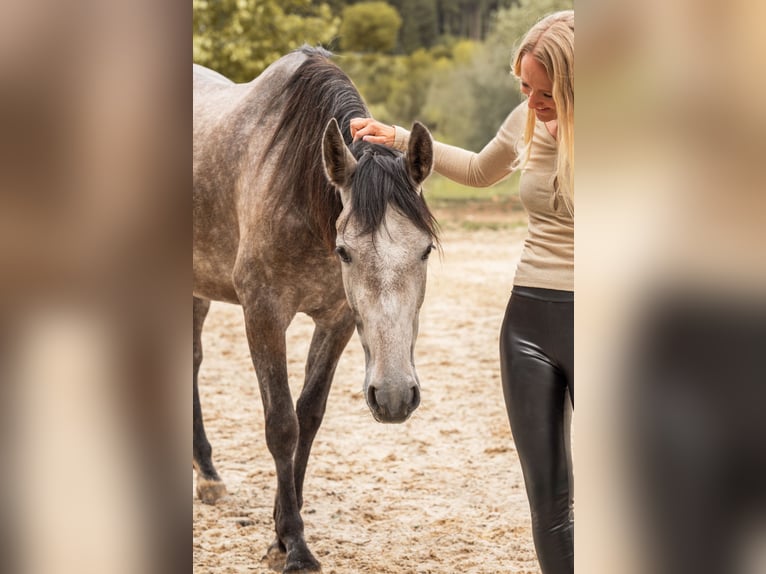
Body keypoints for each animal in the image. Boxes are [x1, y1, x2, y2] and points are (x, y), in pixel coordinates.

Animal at [193, 46, 438, 572]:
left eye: (426, 250)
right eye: (345, 251)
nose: (394, 397)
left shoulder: (336, 320)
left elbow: (308, 415)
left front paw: (281, 533)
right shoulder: (263, 314)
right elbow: (281, 424)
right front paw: (295, 546)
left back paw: (208, 474)